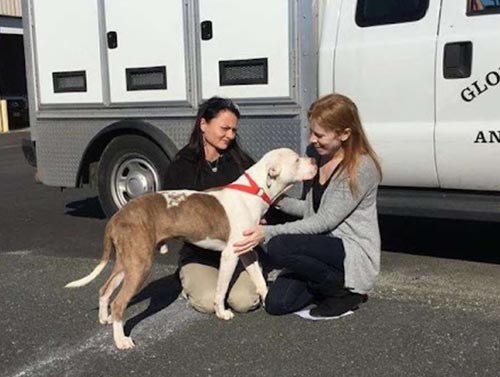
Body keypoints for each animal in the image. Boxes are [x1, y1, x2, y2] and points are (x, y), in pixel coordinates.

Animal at [64, 148, 316, 348]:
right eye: (296, 160)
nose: (314, 160)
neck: (254, 191)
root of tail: (117, 216)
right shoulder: (230, 255)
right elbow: (221, 288)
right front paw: (221, 312)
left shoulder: (247, 252)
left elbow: (259, 280)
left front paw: (267, 298)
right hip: (140, 265)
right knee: (119, 302)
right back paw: (121, 341)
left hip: (127, 262)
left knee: (105, 289)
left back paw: (104, 318)